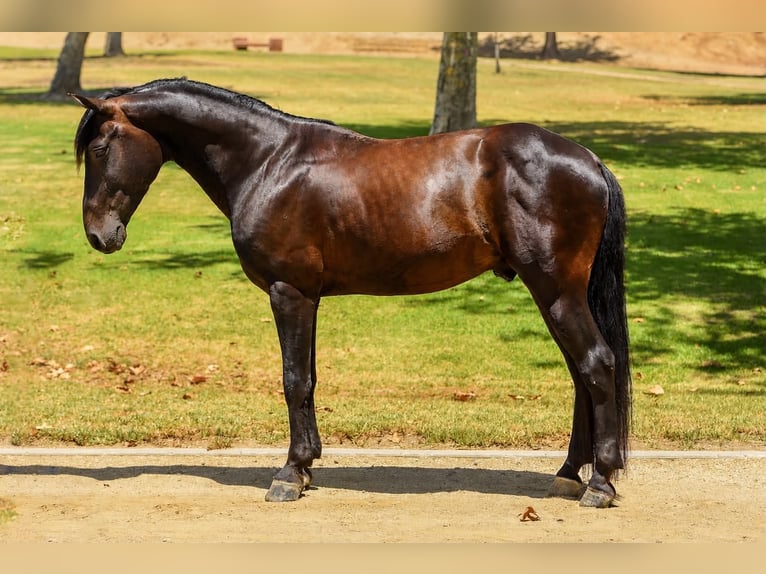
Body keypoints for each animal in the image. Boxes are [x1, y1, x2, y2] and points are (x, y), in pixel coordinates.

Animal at [70, 78, 631, 508]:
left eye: (99, 149)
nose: (99, 235)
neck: (269, 161)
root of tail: (589, 159)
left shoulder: (289, 293)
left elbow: (294, 380)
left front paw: (289, 475)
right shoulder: (308, 297)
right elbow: (310, 379)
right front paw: (307, 466)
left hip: (555, 290)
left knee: (597, 365)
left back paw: (600, 484)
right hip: (556, 295)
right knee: (582, 375)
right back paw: (569, 473)